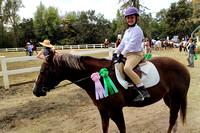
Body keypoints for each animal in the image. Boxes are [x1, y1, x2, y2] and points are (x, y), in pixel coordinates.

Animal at [32, 52, 189, 133]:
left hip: (175, 99)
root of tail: (182, 66)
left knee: (172, 118)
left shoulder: (115, 111)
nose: (35, 91)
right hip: (168, 98)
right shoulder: (103, 110)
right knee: (174, 117)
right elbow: (105, 128)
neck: (98, 78)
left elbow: (122, 129)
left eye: (43, 71)